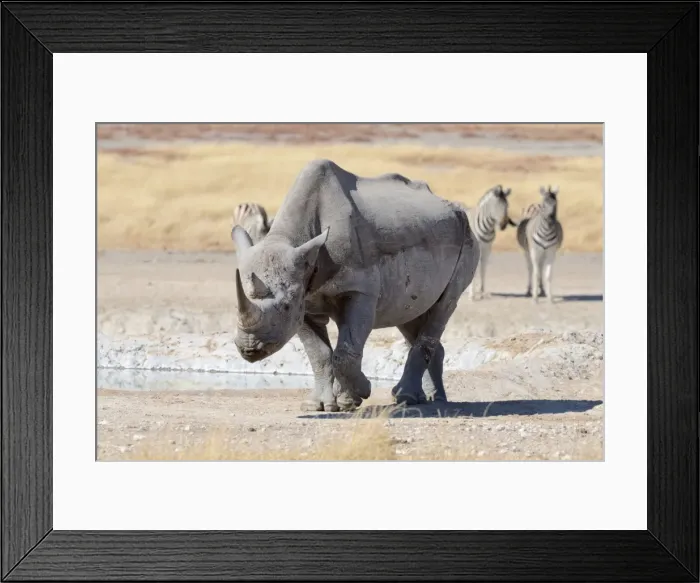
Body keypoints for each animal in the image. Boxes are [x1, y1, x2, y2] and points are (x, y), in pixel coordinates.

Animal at [231, 159, 480, 412]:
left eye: (285, 307)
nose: (250, 349)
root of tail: (451, 205)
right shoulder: (305, 298)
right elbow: (319, 354)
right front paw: (319, 405)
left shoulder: (359, 289)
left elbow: (345, 351)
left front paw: (357, 395)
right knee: (410, 312)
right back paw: (427, 398)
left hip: (466, 235)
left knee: (444, 305)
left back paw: (407, 397)